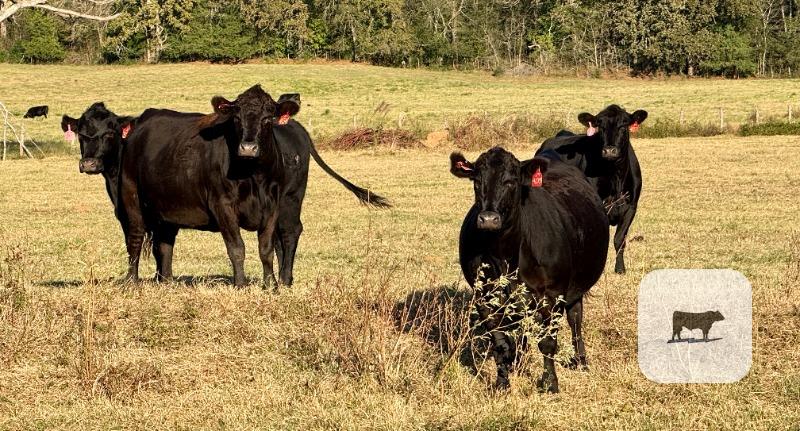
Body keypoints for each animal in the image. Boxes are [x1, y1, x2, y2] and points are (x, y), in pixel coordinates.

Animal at [119, 85, 389, 288]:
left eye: (267, 118)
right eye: (236, 119)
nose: (248, 148)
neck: (254, 177)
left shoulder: (273, 205)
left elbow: (266, 247)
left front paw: (270, 284)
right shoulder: (222, 206)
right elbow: (237, 248)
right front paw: (240, 284)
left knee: (165, 243)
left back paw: (166, 281)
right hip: (131, 195)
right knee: (135, 237)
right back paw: (132, 281)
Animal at [451, 147, 609, 393]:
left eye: (511, 181)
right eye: (476, 180)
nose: (489, 219)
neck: (506, 256)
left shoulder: (553, 294)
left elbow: (547, 342)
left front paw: (550, 383)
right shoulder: (485, 298)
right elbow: (500, 343)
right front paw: (502, 382)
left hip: (575, 289)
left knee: (575, 321)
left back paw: (580, 360)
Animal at [536, 105, 646, 274]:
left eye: (624, 125)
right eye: (600, 126)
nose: (609, 151)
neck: (615, 178)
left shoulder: (631, 207)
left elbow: (619, 239)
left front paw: (620, 268)